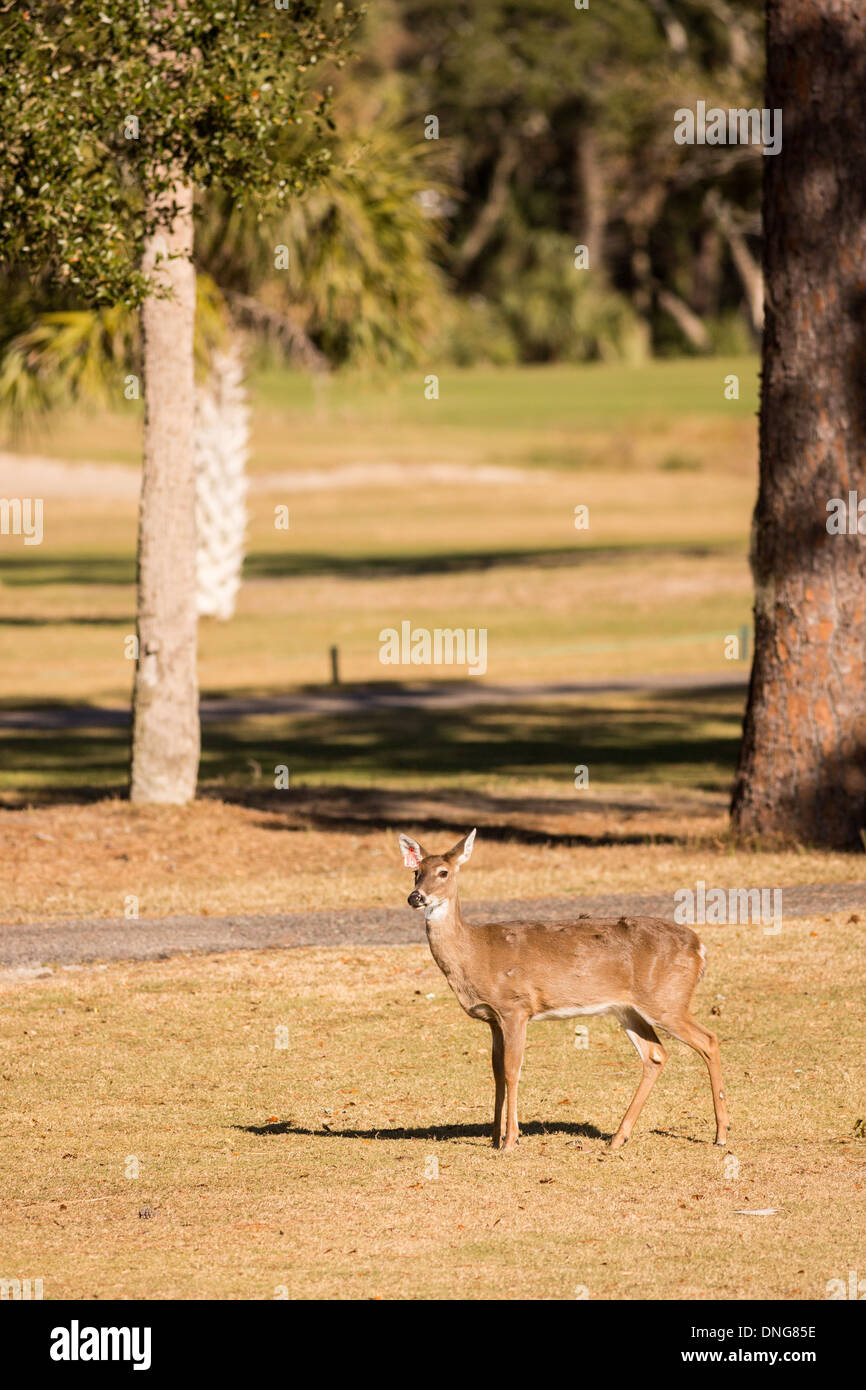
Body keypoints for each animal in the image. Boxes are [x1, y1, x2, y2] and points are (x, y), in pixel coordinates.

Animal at [403, 822, 728, 1150]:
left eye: (443, 872)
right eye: (416, 871)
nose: (415, 897)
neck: (474, 952)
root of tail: (700, 948)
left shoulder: (515, 1006)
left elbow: (512, 1070)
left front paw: (511, 1140)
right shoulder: (493, 1018)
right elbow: (496, 1072)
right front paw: (495, 1138)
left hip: (667, 1000)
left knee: (709, 1040)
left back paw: (721, 1134)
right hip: (630, 1010)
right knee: (656, 1054)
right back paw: (618, 1137)